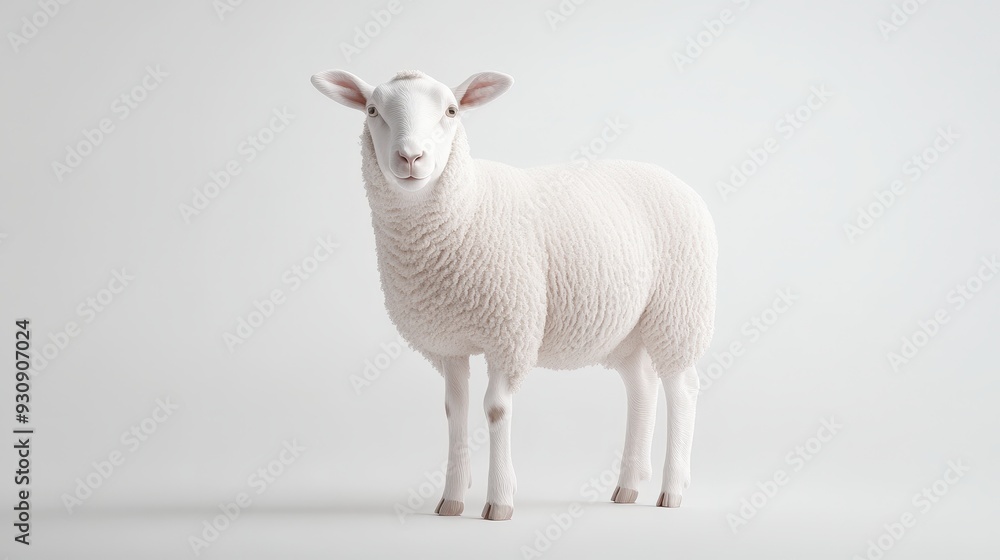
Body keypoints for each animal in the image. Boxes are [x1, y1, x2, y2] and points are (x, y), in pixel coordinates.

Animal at [311, 69, 718, 520]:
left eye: (451, 111)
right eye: (372, 110)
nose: (411, 157)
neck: (465, 209)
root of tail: (675, 179)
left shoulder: (510, 332)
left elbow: (495, 409)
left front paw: (499, 501)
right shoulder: (448, 342)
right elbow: (454, 411)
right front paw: (451, 500)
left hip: (679, 310)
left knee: (683, 389)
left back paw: (672, 489)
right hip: (626, 330)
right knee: (642, 387)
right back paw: (628, 486)